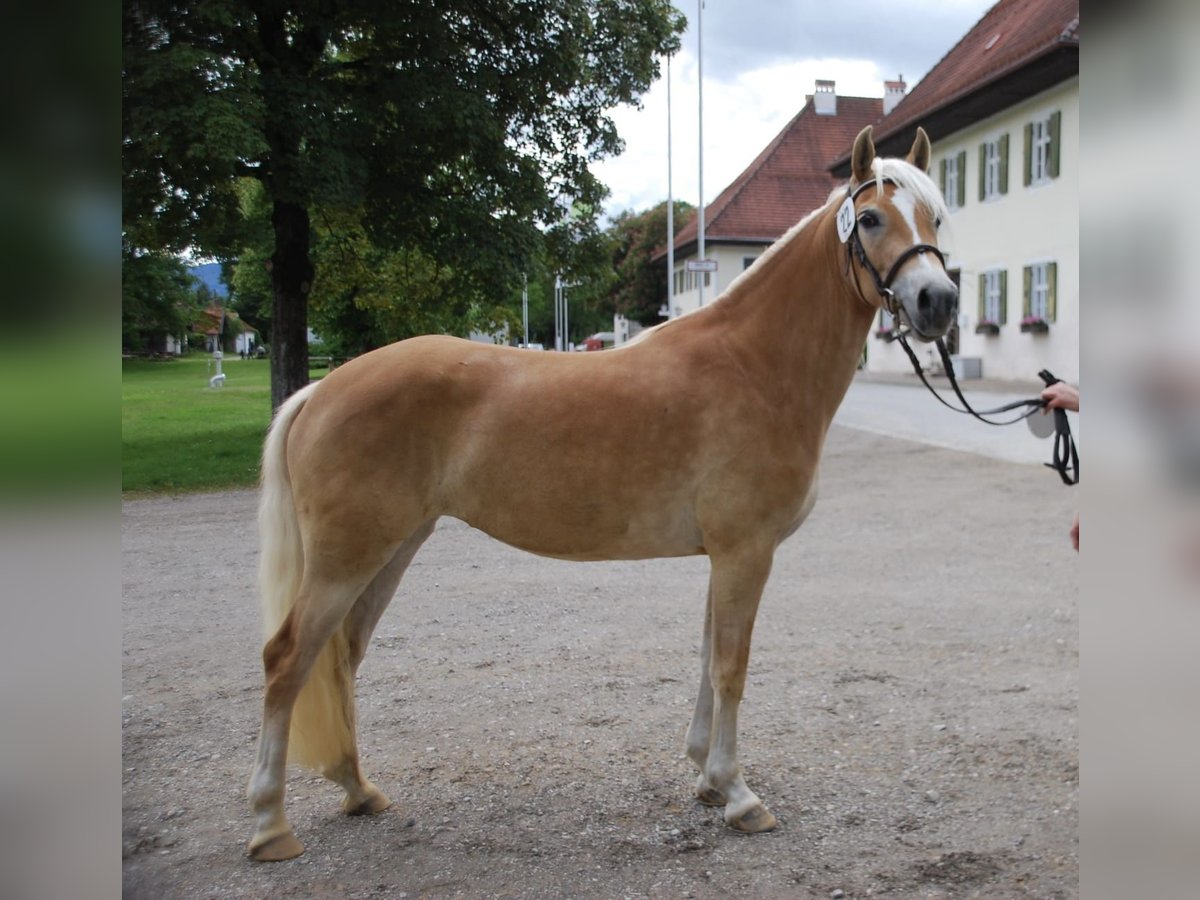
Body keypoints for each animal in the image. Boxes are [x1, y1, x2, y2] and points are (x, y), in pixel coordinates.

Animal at [243, 127, 955, 859]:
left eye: (936, 217)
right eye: (869, 219)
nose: (939, 301)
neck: (754, 365)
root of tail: (320, 390)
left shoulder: (724, 555)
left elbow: (709, 659)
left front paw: (707, 778)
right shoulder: (746, 551)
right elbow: (731, 667)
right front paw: (738, 794)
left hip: (390, 550)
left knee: (341, 660)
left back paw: (359, 791)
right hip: (346, 558)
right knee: (288, 659)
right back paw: (271, 824)